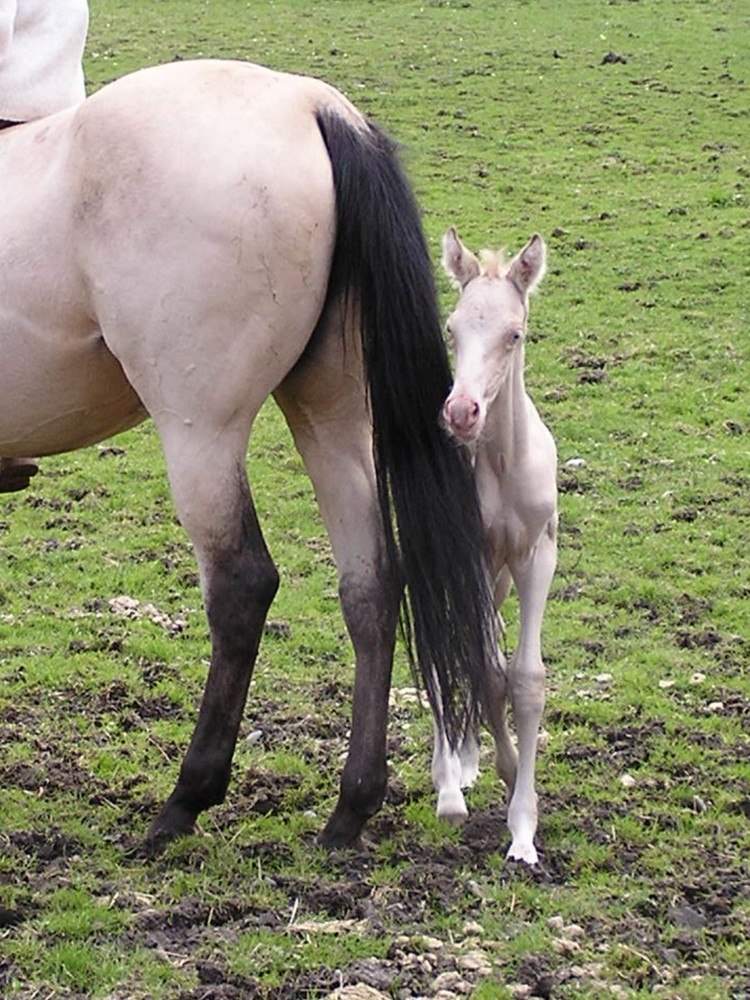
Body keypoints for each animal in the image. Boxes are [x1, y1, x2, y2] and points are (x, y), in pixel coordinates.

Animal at [2, 58, 502, 848]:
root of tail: (311, 104)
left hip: (200, 431)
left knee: (241, 586)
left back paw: (186, 800)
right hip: (331, 418)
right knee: (370, 583)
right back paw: (351, 805)